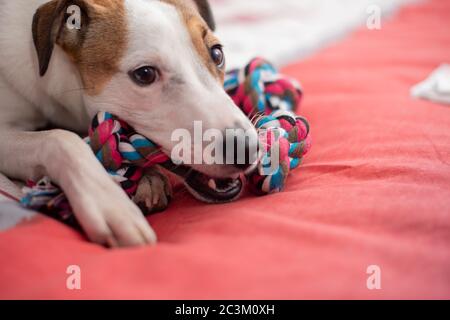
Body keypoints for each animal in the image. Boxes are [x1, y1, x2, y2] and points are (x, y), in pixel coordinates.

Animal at [0, 0, 258, 248]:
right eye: (145, 74)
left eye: (217, 54)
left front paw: (149, 178)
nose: (246, 149)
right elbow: (61, 138)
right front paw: (111, 203)